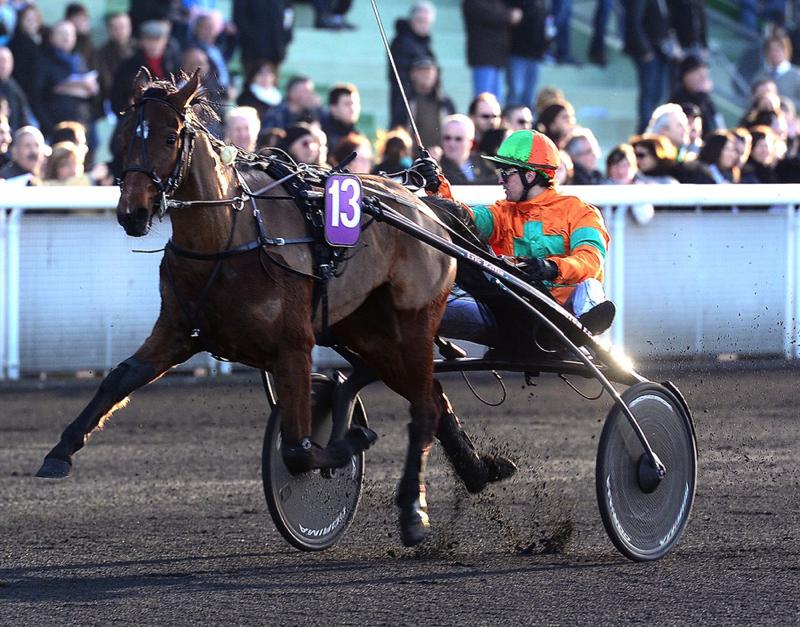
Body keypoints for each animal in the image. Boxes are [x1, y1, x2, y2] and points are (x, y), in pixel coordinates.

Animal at [36, 68, 512, 548]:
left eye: (170, 137)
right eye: (124, 137)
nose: (131, 213)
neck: (229, 237)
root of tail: (423, 207)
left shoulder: (293, 345)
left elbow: (298, 450)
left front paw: (348, 442)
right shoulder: (178, 330)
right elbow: (120, 378)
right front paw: (60, 451)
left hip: (412, 320)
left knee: (424, 408)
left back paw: (414, 510)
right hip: (368, 331)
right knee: (431, 394)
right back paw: (476, 471)